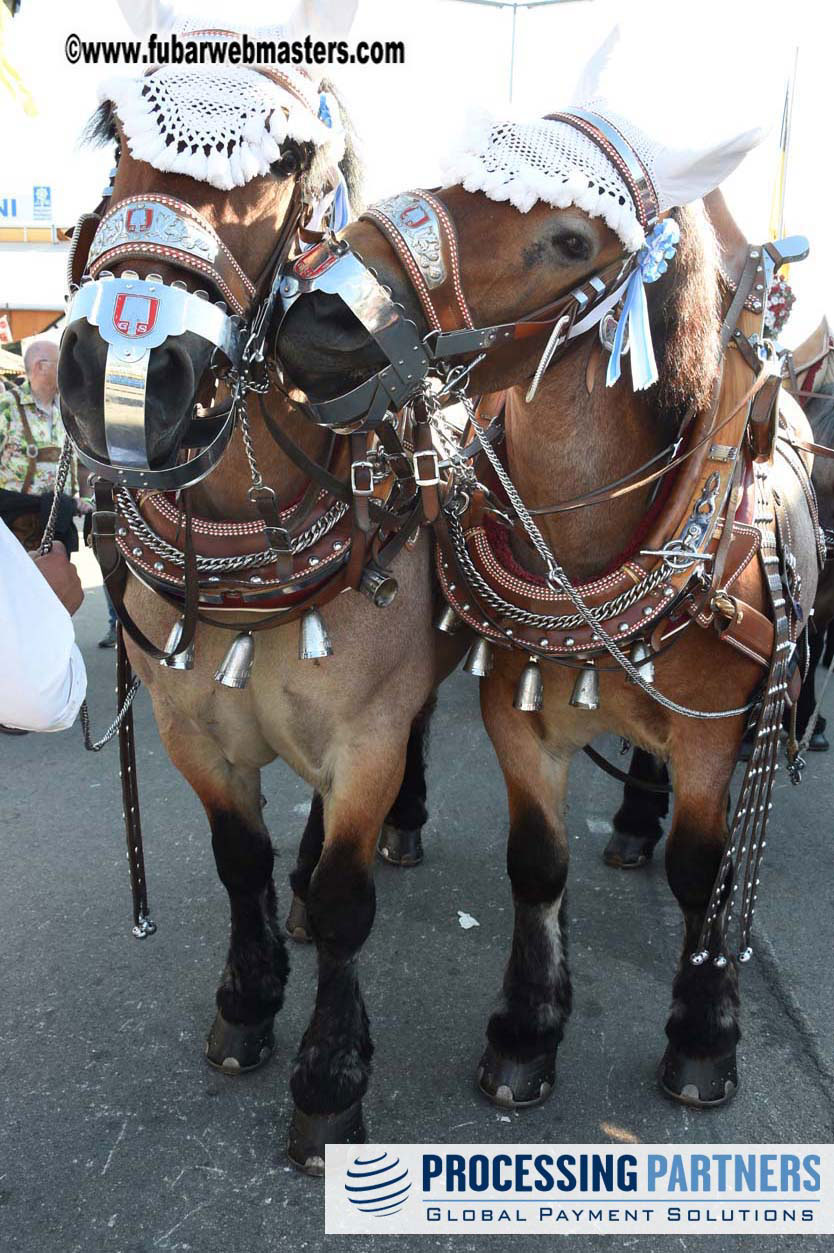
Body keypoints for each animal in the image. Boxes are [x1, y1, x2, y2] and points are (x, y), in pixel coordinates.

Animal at [57, 97, 458, 1172]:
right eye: (115, 134)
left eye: (286, 159)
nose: (120, 365)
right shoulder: (190, 729)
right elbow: (241, 860)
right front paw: (246, 1001)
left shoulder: (365, 736)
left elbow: (350, 901)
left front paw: (330, 1079)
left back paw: (402, 826)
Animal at [280, 190, 816, 1122]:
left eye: (570, 240)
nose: (314, 315)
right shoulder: (518, 719)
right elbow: (536, 862)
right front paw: (526, 1031)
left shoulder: (712, 737)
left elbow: (701, 870)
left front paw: (704, 1035)